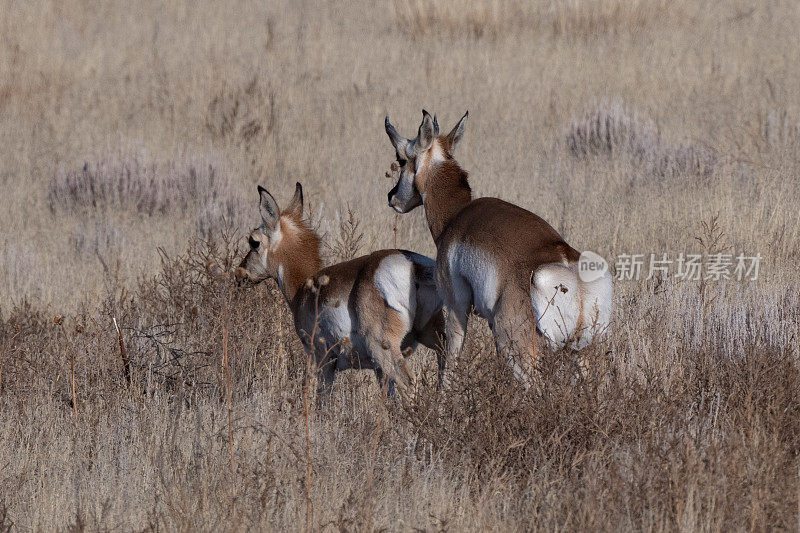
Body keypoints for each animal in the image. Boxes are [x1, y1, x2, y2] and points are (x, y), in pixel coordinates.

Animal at [236, 182, 444, 394]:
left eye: (254, 241)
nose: (240, 273)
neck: (305, 285)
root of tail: (413, 264)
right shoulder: (377, 371)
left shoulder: (322, 361)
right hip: (435, 339)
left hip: (383, 350)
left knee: (410, 383)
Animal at [386, 109, 612, 382]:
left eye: (401, 159)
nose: (392, 197)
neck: (457, 216)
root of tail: (568, 268)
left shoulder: (456, 307)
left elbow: (450, 364)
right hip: (584, 355)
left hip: (518, 351)